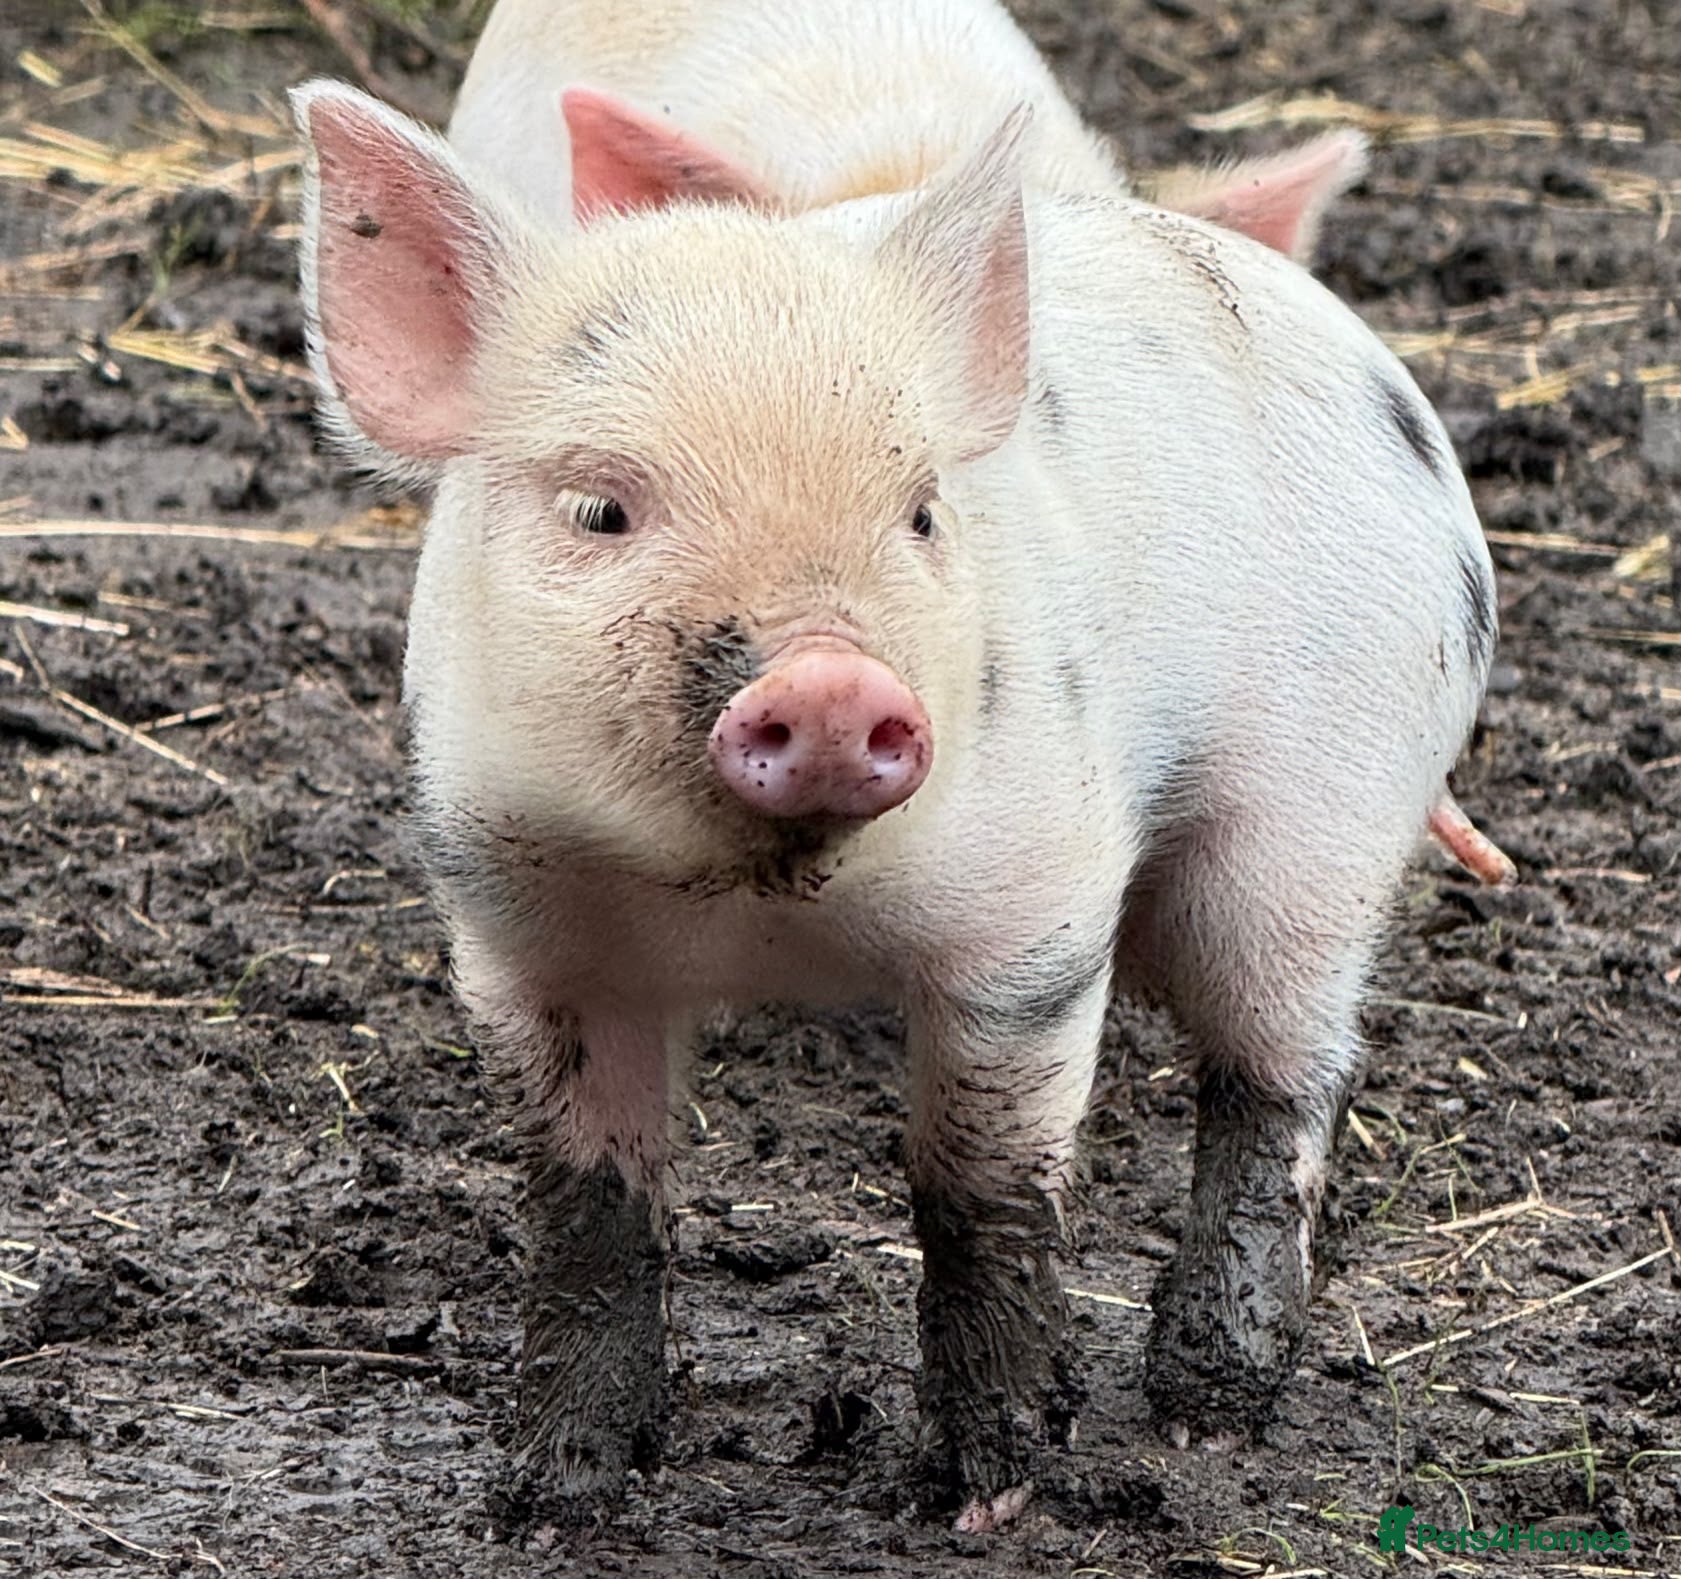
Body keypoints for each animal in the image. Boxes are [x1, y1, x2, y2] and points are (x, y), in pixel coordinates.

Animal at [294, 81, 1501, 1530]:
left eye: (920, 510)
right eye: (600, 507)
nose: (826, 674)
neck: (758, 907)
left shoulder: (1030, 918)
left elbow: (979, 1197)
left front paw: (983, 1500)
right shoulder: (522, 934)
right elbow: (592, 1208)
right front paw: (549, 1500)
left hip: (1323, 809)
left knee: (1280, 1080)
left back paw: (1205, 1417)